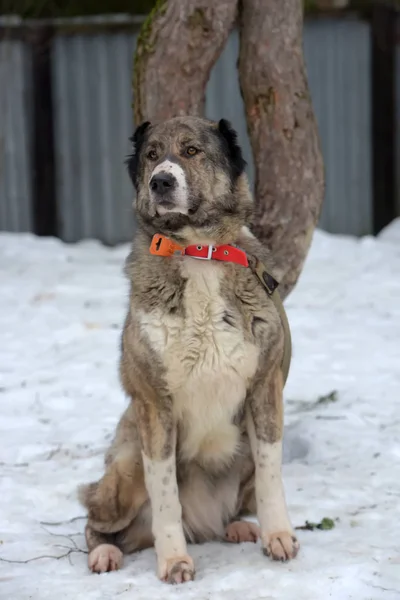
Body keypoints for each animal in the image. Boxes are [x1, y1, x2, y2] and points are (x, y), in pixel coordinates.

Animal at [78, 115, 298, 584]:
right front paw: (174, 561)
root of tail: (204, 525)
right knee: (94, 519)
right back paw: (104, 553)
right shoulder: (154, 407)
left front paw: (278, 536)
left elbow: (271, 476)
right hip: (126, 466)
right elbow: (166, 498)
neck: (199, 249)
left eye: (192, 151)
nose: (161, 181)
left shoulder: (265, 389)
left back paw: (237, 527)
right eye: (151, 154)